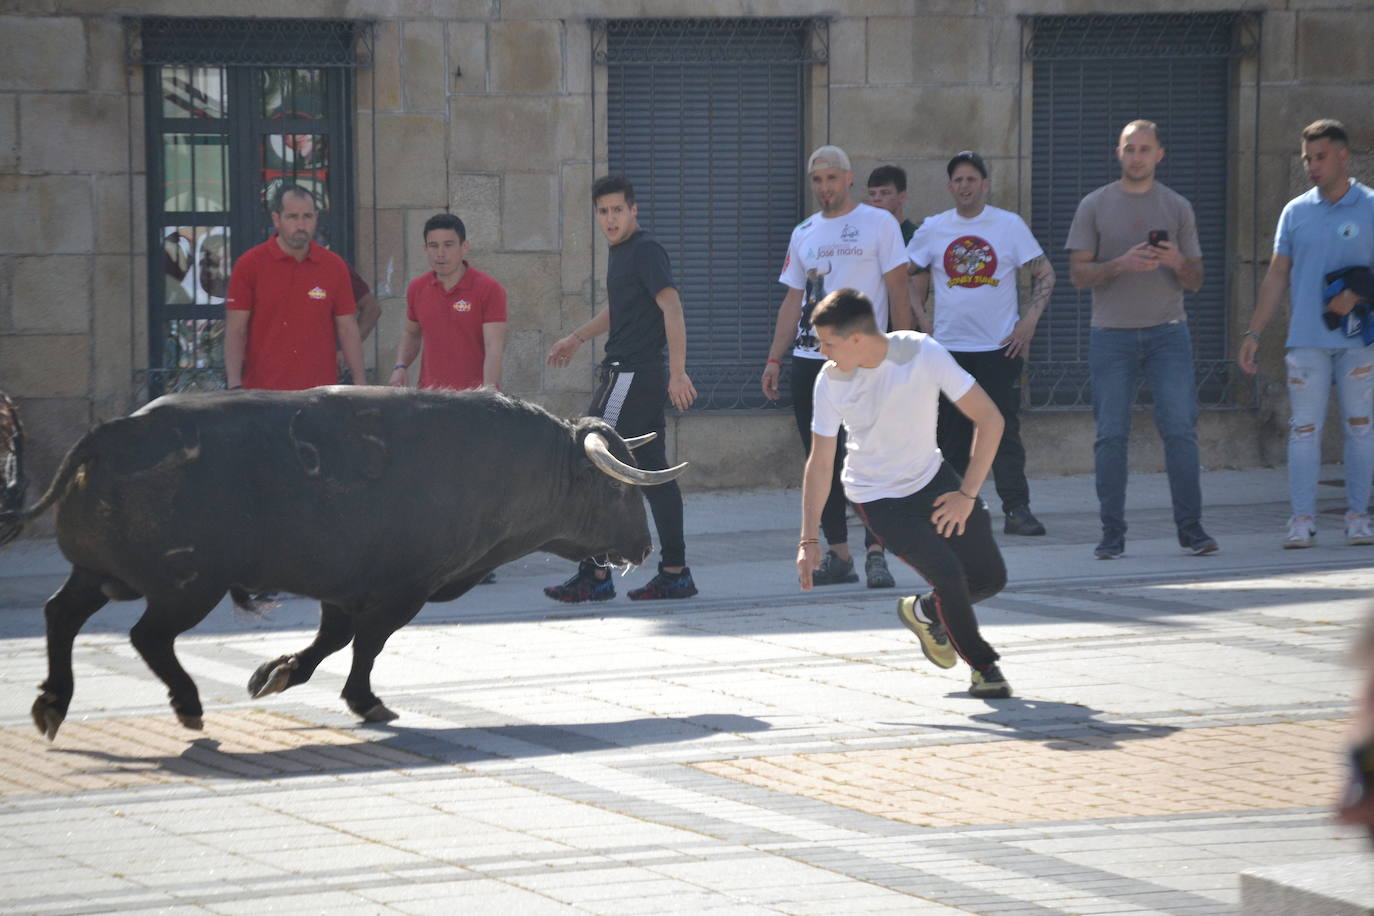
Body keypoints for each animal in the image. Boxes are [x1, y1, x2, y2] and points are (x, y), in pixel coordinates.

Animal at [0, 384, 687, 736]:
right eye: (620, 490)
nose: (643, 548)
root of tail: (111, 433)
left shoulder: (343, 586)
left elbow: (330, 640)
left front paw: (276, 671)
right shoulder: (400, 589)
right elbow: (366, 645)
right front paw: (366, 701)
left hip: (103, 575)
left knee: (62, 616)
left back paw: (54, 701)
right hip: (186, 585)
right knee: (148, 636)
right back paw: (187, 704)